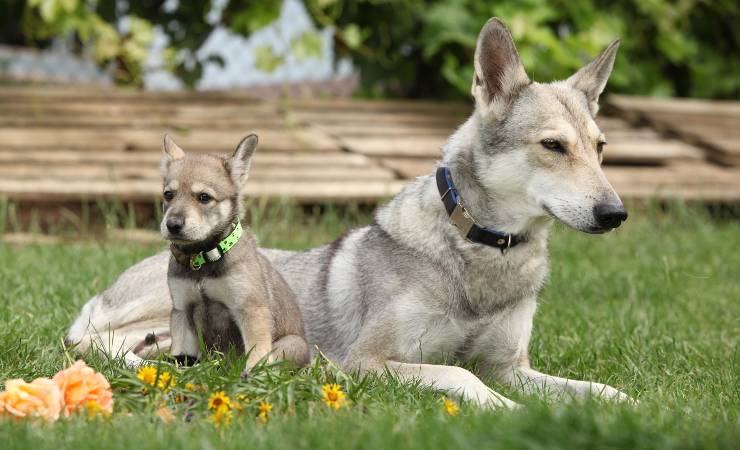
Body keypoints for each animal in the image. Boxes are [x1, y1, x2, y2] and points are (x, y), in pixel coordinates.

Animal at [158, 134, 308, 376]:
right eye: (168, 195)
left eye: (204, 197)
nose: (173, 225)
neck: (202, 259)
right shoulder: (182, 310)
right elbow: (181, 351)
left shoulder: (250, 309)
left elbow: (257, 349)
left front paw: (254, 373)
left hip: (291, 344)